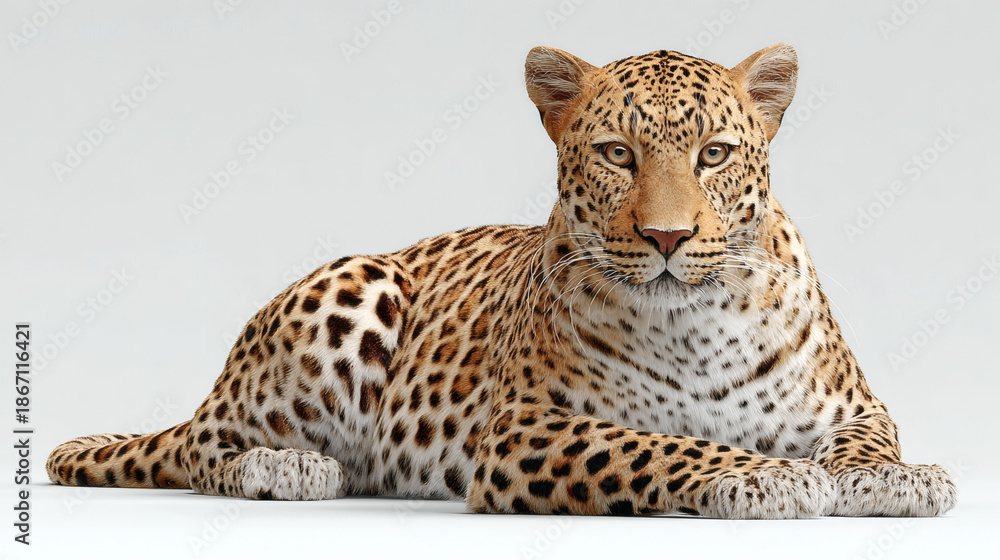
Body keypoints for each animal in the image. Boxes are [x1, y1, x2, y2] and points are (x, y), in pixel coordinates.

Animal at [47, 44, 958, 518]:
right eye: (617, 154)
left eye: (714, 155)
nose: (666, 236)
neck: (697, 324)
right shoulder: (525, 429)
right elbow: (658, 444)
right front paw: (763, 474)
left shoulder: (852, 403)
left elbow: (868, 439)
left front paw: (894, 478)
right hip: (357, 285)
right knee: (201, 447)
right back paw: (289, 468)